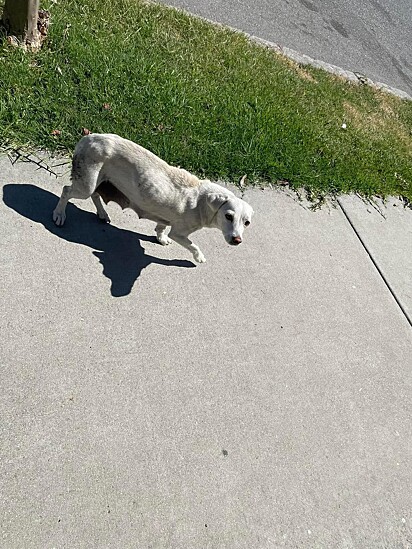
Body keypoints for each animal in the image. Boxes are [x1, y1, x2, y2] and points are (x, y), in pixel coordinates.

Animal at [54, 132, 254, 262]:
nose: (237, 240)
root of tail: (87, 139)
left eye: (247, 223)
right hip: (86, 185)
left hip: (98, 181)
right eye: (228, 216)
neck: (201, 200)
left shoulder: (165, 218)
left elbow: (160, 227)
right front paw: (199, 257)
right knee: (66, 191)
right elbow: (192, 244)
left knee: (95, 195)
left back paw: (102, 213)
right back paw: (59, 214)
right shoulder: (179, 233)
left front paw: (161, 238)